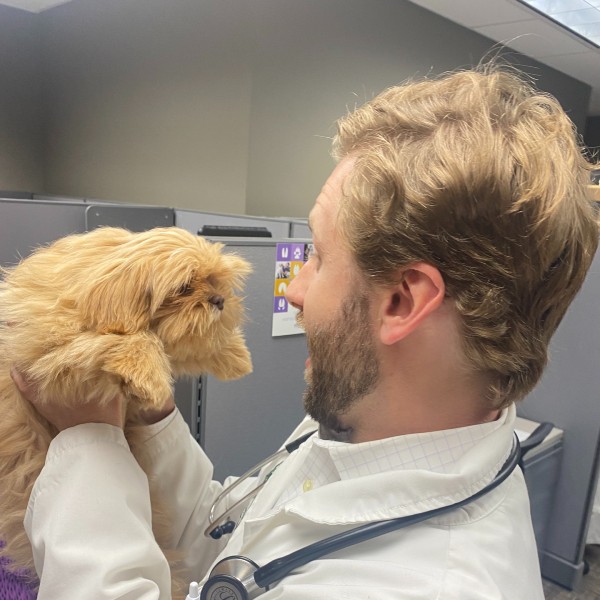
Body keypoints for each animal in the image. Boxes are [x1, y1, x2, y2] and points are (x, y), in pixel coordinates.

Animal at [0, 226, 253, 596]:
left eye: (215, 281)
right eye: (184, 288)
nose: (219, 301)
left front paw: (233, 354)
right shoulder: (54, 350)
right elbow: (131, 340)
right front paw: (150, 375)